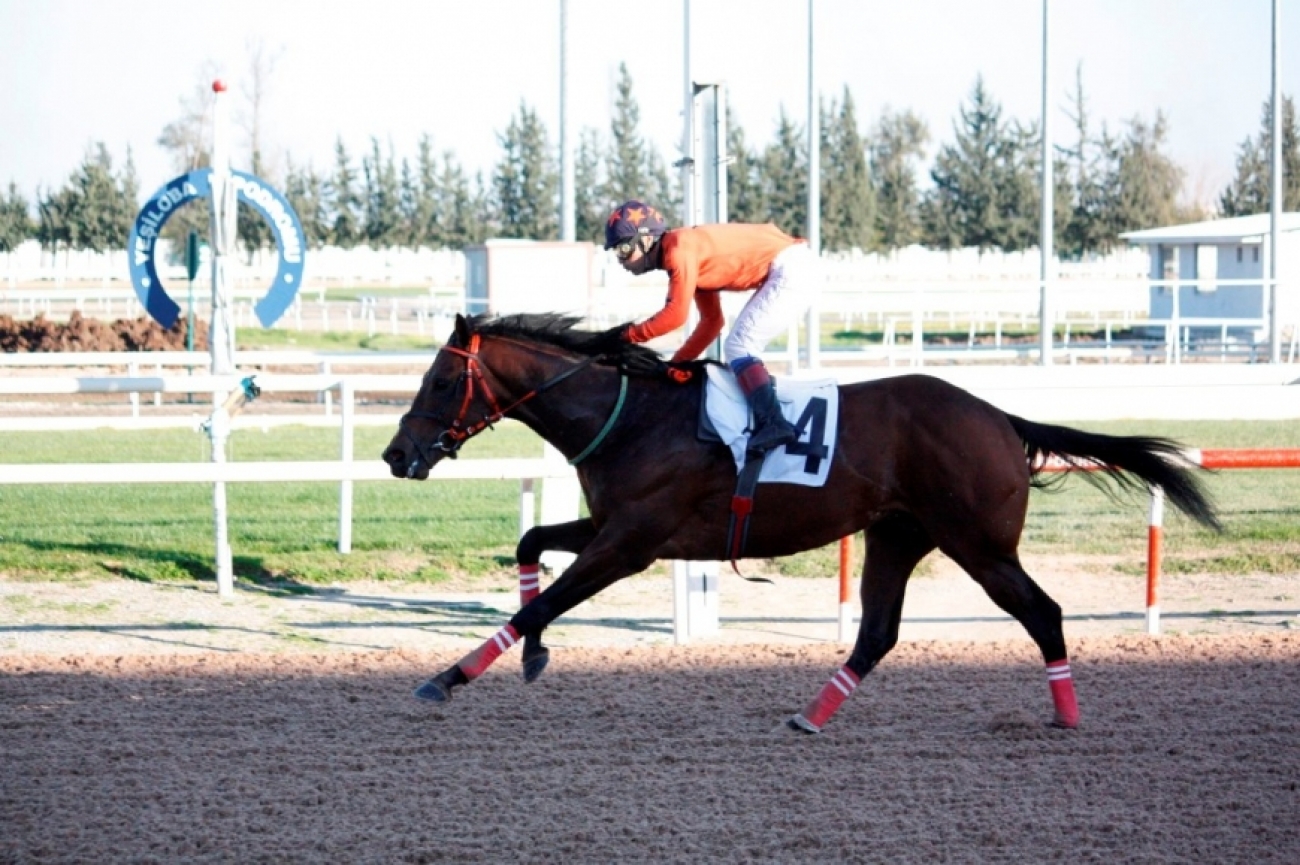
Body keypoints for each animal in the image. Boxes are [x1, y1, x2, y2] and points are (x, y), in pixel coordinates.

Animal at [382, 313, 1216, 733]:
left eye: (442, 378)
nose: (396, 454)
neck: (633, 413)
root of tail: (1000, 417)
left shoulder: (633, 540)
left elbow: (545, 602)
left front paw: (448, 677)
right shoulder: (617, 525)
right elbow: (532, 549)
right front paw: (530, 657)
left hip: (978, 543)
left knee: (1042, 611)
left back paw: (1067, 716)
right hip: (897, 535)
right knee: (877, 632)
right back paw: (810, 715)